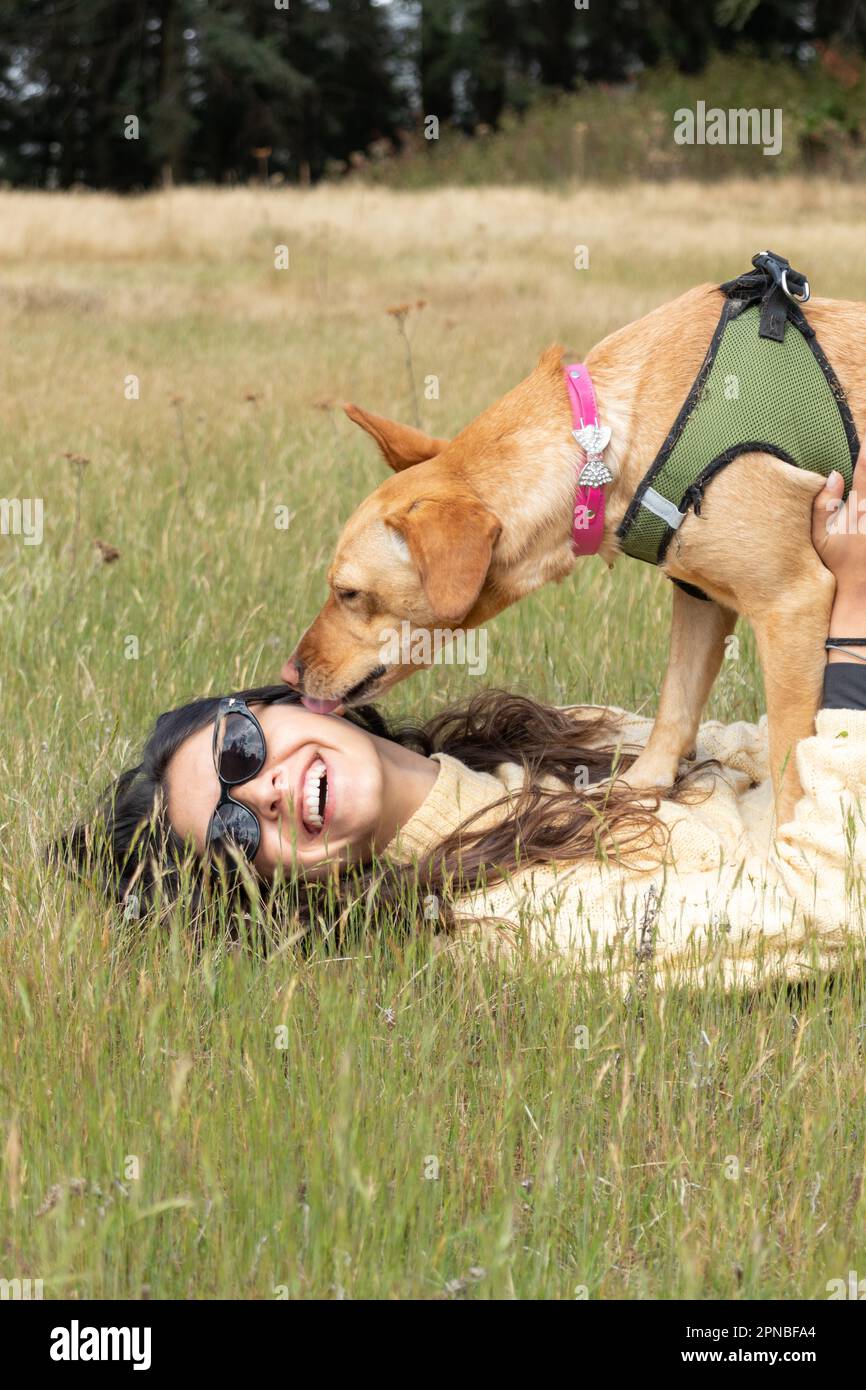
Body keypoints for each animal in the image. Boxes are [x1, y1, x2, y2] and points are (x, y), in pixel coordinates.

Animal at [283, 261, 866, 817]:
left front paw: (786, 843)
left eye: (348, 593)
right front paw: (636, 790)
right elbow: (675, 706)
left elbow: (791, 770)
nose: (290, 674)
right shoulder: (699, 598)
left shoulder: (792, 603)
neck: (605, 438)